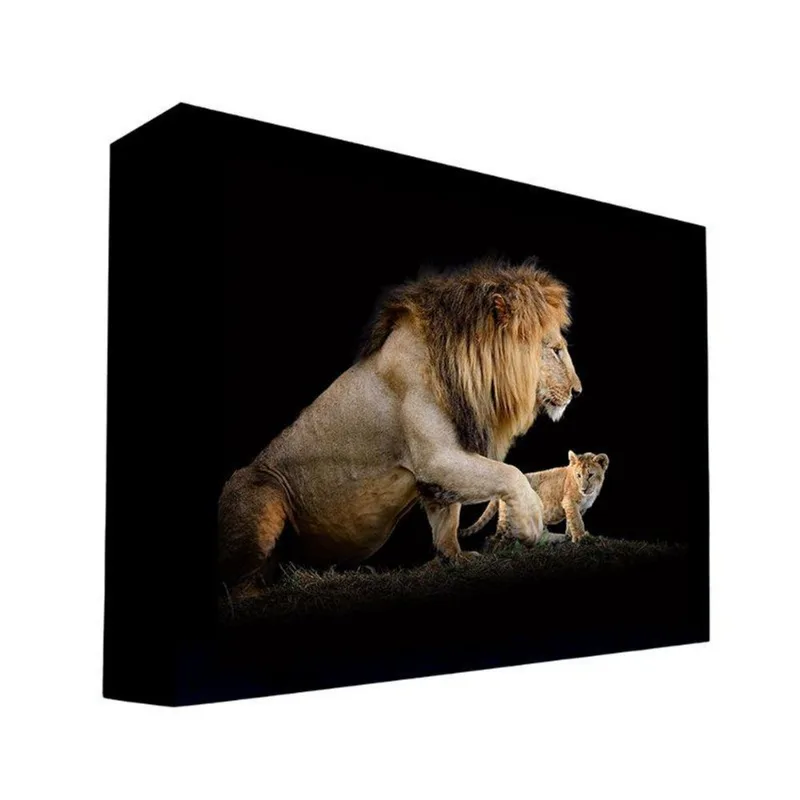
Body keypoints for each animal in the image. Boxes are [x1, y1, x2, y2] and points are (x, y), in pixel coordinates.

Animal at [218, 260, 582, 588]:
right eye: (556, 350)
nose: (578, 391)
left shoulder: (438, 472)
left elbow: (447, 519)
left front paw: (455, 558)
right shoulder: (436, 458)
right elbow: (510, 473)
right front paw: (531, 523)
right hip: (261, 494)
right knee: (238, 586)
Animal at [459, 450, 610, 543]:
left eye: (590, 475)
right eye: (579, 475)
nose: (584, 488)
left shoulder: (580, 507)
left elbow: (570, 520)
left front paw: (569, 535)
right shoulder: (569, 501)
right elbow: (576, 520)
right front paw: (580, 537)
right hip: (508, 515)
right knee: (500, 534)